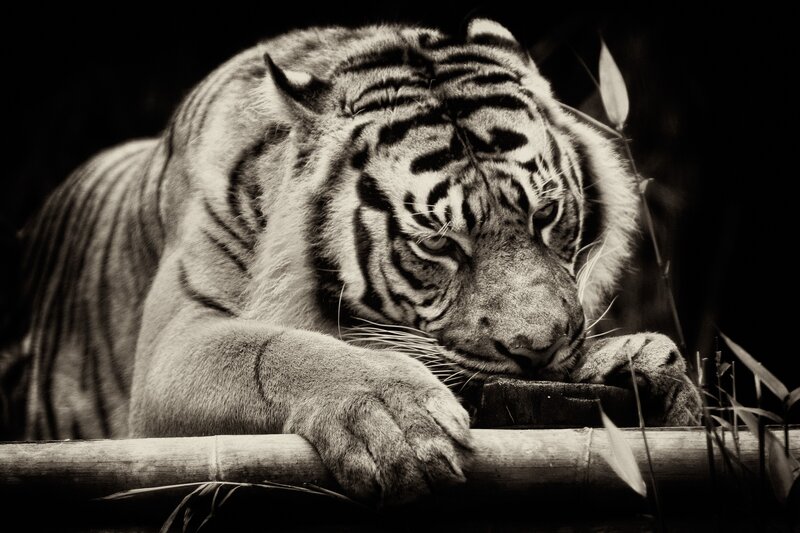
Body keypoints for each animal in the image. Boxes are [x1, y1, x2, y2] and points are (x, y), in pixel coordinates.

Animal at [2, 19, 699, 504]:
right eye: (438, 244)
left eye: (546, 215)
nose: (540, 350)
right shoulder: (172, 348)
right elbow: (271, 350)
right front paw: (395, 416)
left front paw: (644, 363)